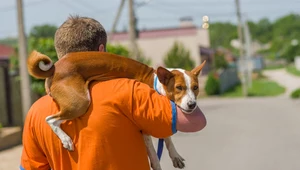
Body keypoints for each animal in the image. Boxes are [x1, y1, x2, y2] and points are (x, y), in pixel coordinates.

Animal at [27, 50, 206, 170]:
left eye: (195, 87)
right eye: (179, 87)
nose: (192, 104)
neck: (156, 83)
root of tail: (55, 67)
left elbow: (167, 138)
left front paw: (175, 156)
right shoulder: (145, 130)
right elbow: (155, 154)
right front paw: (157, 164)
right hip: (80, 102)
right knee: (50, 119)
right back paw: (65, 139)